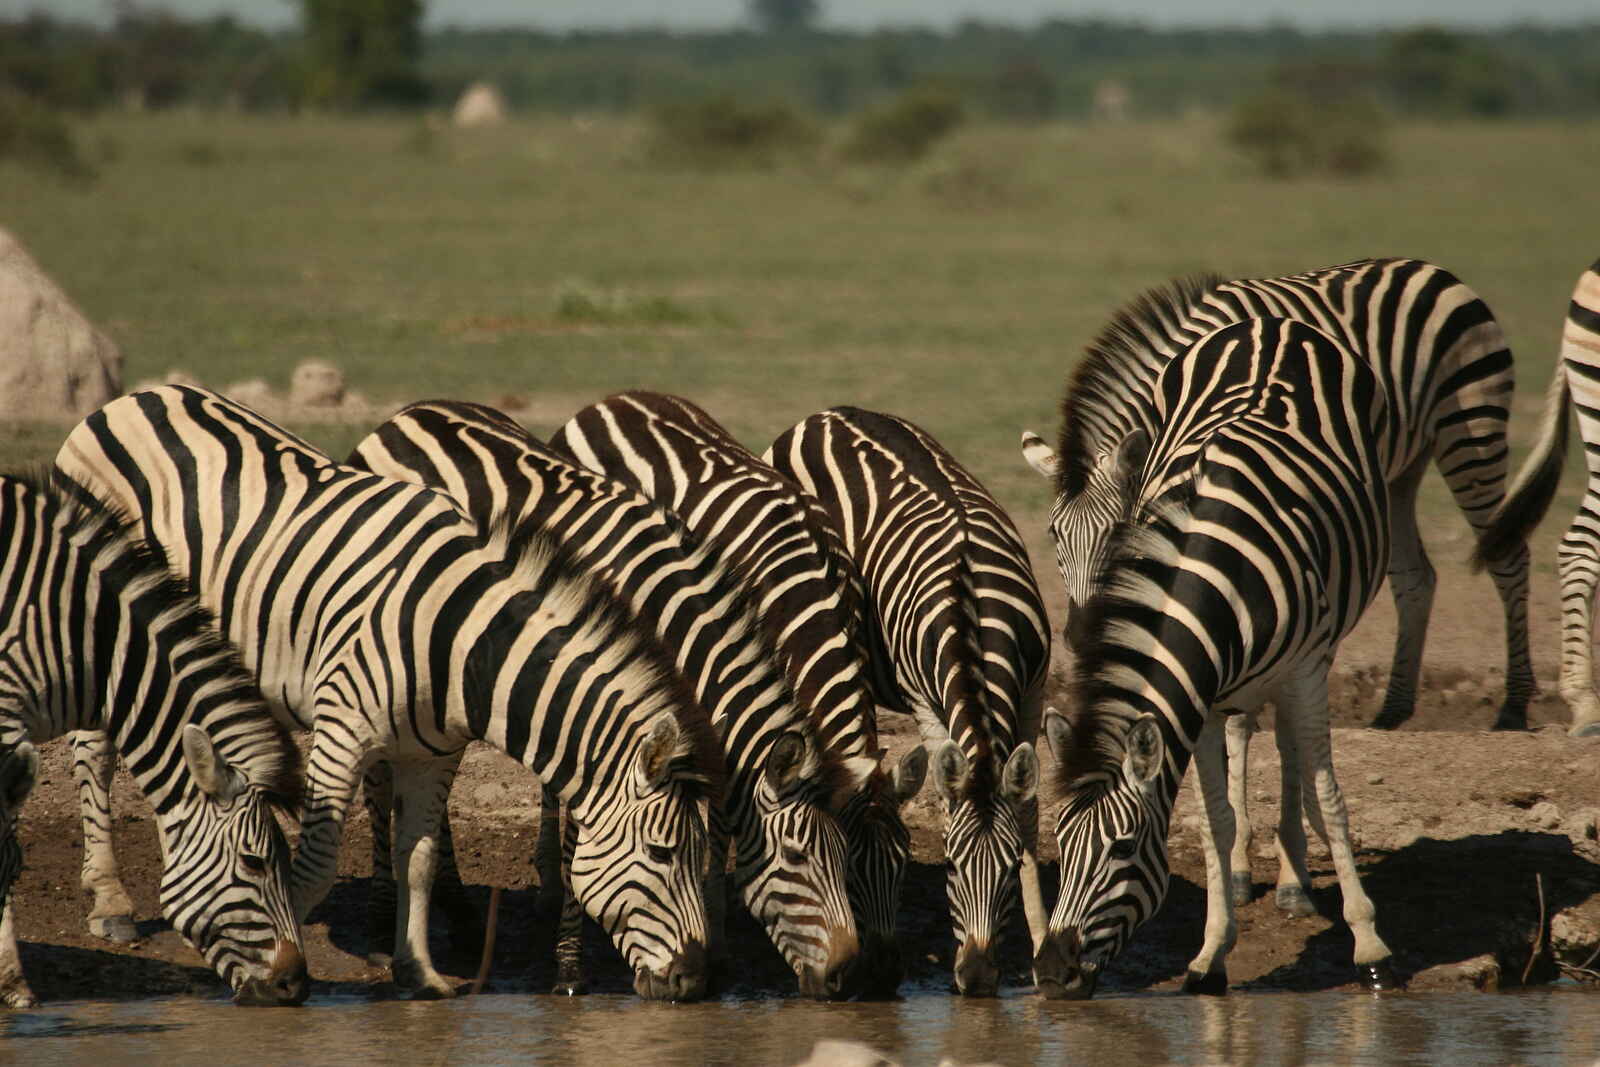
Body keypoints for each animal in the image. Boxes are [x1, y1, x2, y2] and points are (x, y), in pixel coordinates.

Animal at [54, 385, 719, 1001]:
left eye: (701, 856)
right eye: (663, 853)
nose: (694, 981)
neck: (459, 641)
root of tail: (136, 396)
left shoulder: (434, 753)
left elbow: (417, 859)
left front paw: (418, 972)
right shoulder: (340, 730)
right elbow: (314, 866)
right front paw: (286, 960)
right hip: (100, 620)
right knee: (95, 755)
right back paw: (110, 901)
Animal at [348, 399, 879, 998]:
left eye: (849, 861)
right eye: (796, 857)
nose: (847, 975)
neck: (669, 621)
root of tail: (413, 411)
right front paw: (571, 967)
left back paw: (460, 916)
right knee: (380, 782)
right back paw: (381, 923)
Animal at [765, 407, 1051, 996]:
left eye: (1010, 868)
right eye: (950, 866)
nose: (978, 978)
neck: (973, 606)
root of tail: (828, 413)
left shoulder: (1035, 690)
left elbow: (1031, 813)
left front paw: (1042, 950)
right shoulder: (925, 700)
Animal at [1020, 257, 1532, 731]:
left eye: (1117, 533)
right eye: (1053, 536)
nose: (1081, 635)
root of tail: (1431, 269)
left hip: (1471, 429)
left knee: (1509, 558)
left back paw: (1514, 706)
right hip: (1397, 472)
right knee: (1415, 576)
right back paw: (1393, 709)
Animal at [1031, 317, 1399, 998]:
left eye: (1124, 849)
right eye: (1060, 849)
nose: (1051, 974)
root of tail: (1269, 324)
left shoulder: (1304, 670)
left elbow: (1331, 796)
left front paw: (1370, 946)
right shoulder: (1200, 695)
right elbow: (1213, 822)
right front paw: (1211, 954)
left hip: (1327, 633)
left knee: (1295, 748)